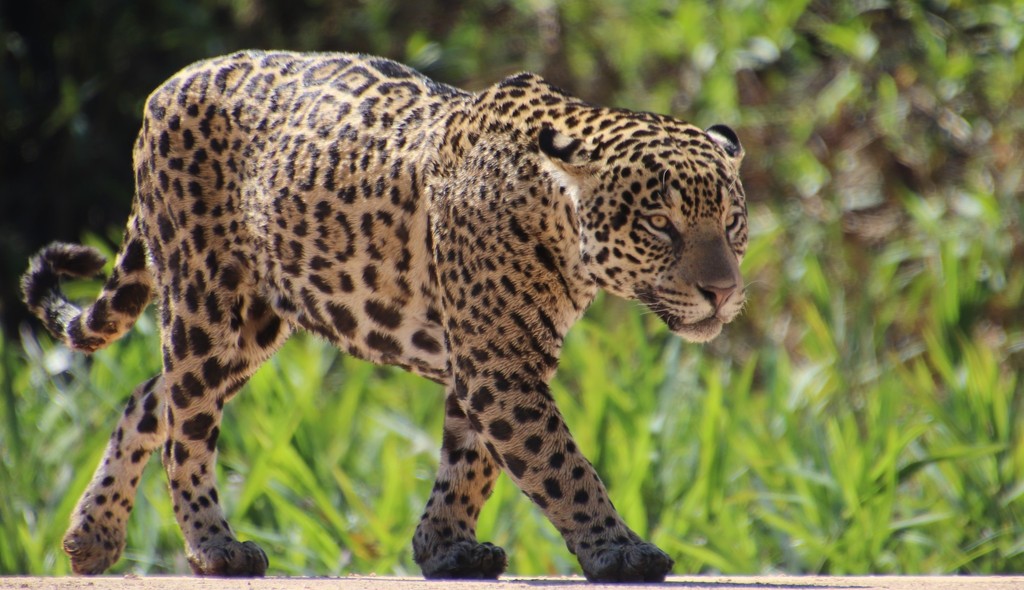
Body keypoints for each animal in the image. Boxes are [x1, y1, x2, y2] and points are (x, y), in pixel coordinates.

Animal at [21, 50, 747, 582]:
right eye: (661, 226)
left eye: (732, 223)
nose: (722, 292)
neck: (558, 223)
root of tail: (166, 88)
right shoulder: (500, 366)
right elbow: (561, 465)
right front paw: (619, 550)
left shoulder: (486, 361)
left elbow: (469, 461)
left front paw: (445, 547)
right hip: (208, 300)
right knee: (186, 429)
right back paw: (214, 548)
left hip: (247, 324)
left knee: (151, 398)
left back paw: (93, 535)